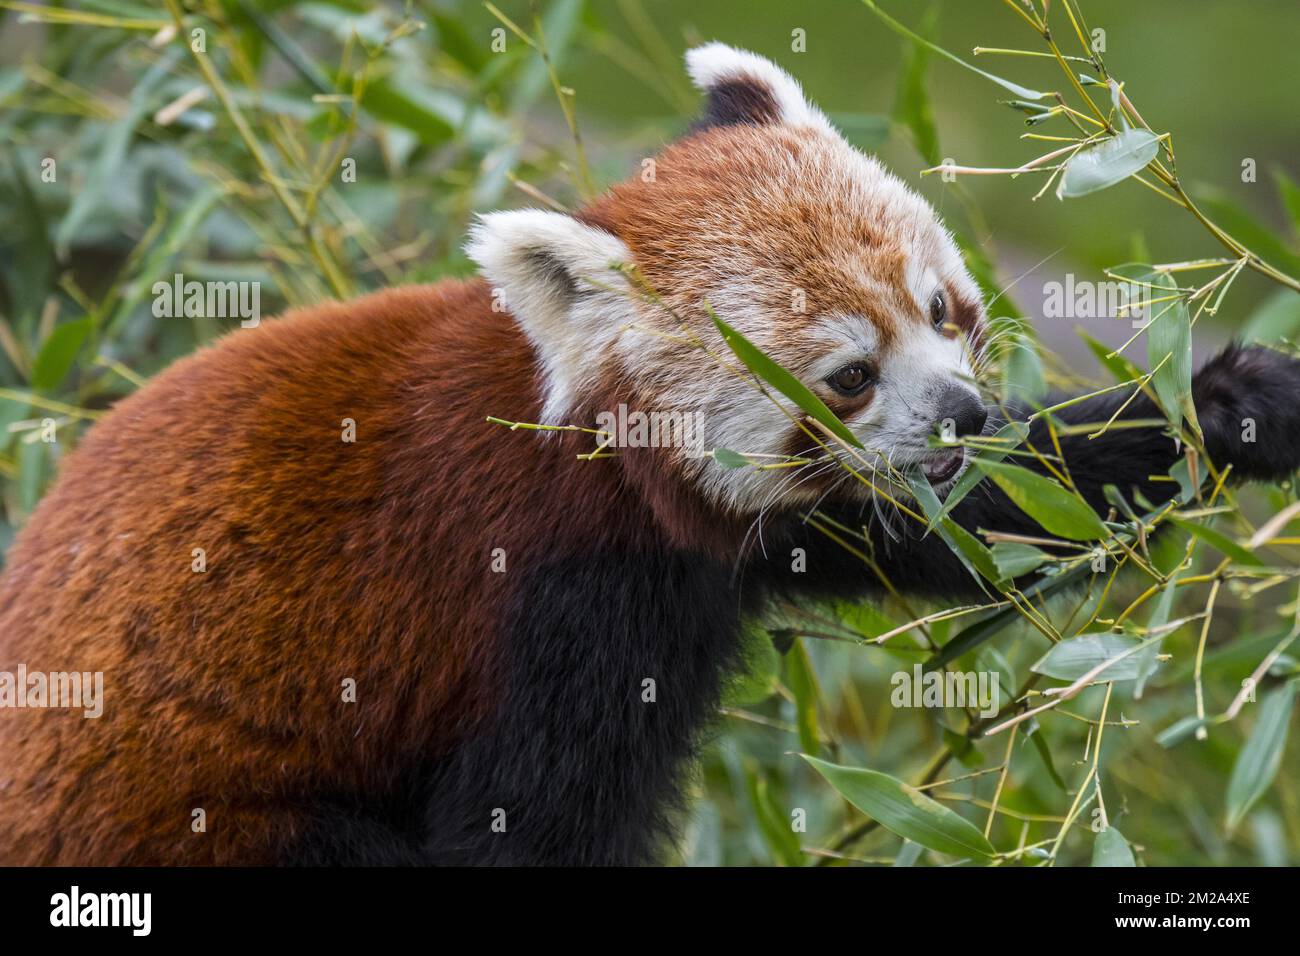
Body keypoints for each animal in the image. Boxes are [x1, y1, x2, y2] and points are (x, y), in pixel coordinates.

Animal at [2, 44, 1300, 868]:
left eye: (943, 310)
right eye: (848, 375)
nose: (962, 414)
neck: (595, 452)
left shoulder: (760, 528)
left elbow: (990, 517)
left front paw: (1233, 403)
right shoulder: (548, 597)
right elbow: (524, 829)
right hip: (200, 818)